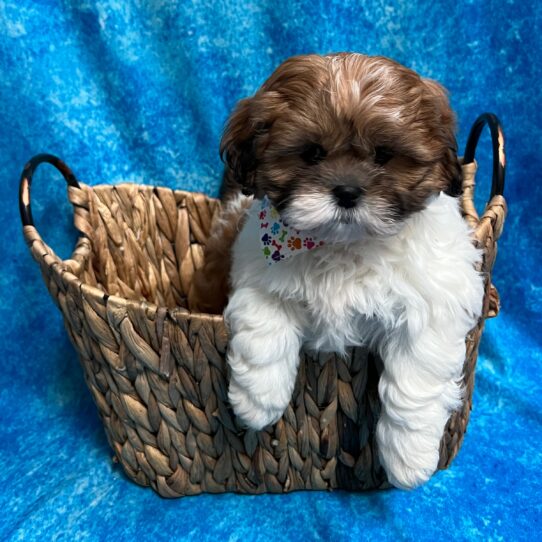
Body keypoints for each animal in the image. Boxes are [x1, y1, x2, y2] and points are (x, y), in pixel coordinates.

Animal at [190, 53, 484, 490]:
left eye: (383, 154)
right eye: (311, 153)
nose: (346, 192)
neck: (344, 244)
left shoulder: (436, 300)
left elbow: (416, 376)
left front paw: (408, 458)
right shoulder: (256, 272)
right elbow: (264, 327)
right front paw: (257, 400)